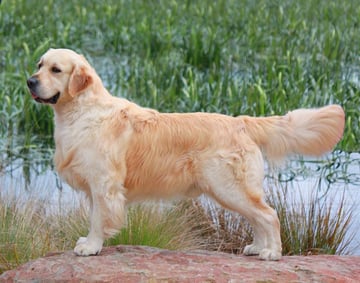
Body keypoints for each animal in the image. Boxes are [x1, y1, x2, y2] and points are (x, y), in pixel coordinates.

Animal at [26, 47, 344, 260]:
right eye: (39, 65)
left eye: (55, 70)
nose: (30, 81)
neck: (81, 112)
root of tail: (240, 122)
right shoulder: (96, 186)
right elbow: (95, 217)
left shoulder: (104, 185)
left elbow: (98, 219)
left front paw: (90, 247)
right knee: (259, 217)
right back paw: (257, 247)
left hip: (229, 187)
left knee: (270, 215)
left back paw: (272, 253)